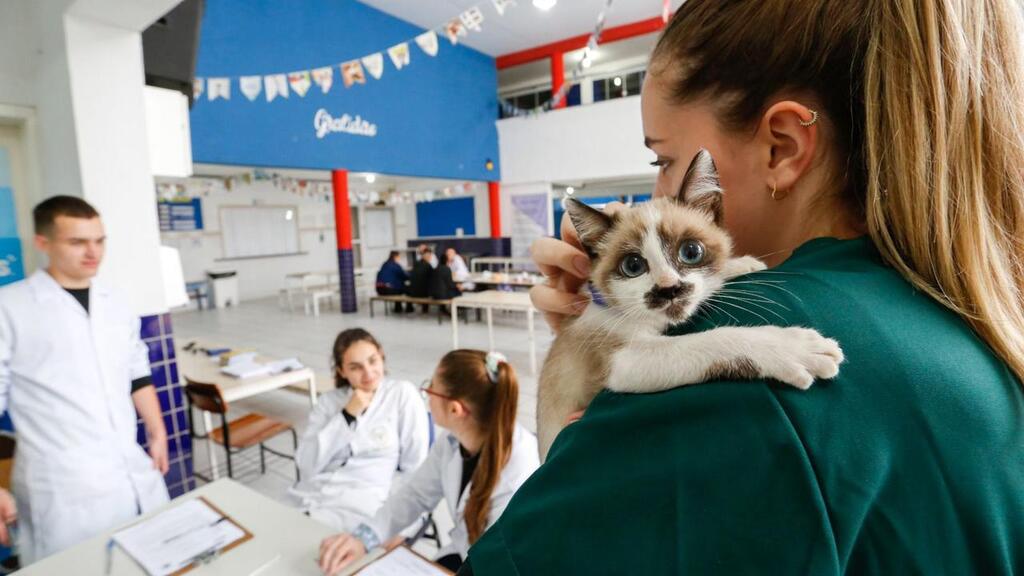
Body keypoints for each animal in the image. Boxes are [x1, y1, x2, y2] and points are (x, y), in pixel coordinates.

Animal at [532, 147, 843, 457]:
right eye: (633, 266)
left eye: (691, 252)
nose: (669, 289)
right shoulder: (623, 359)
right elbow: (712, 340)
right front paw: (793, 348)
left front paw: (740, 265)